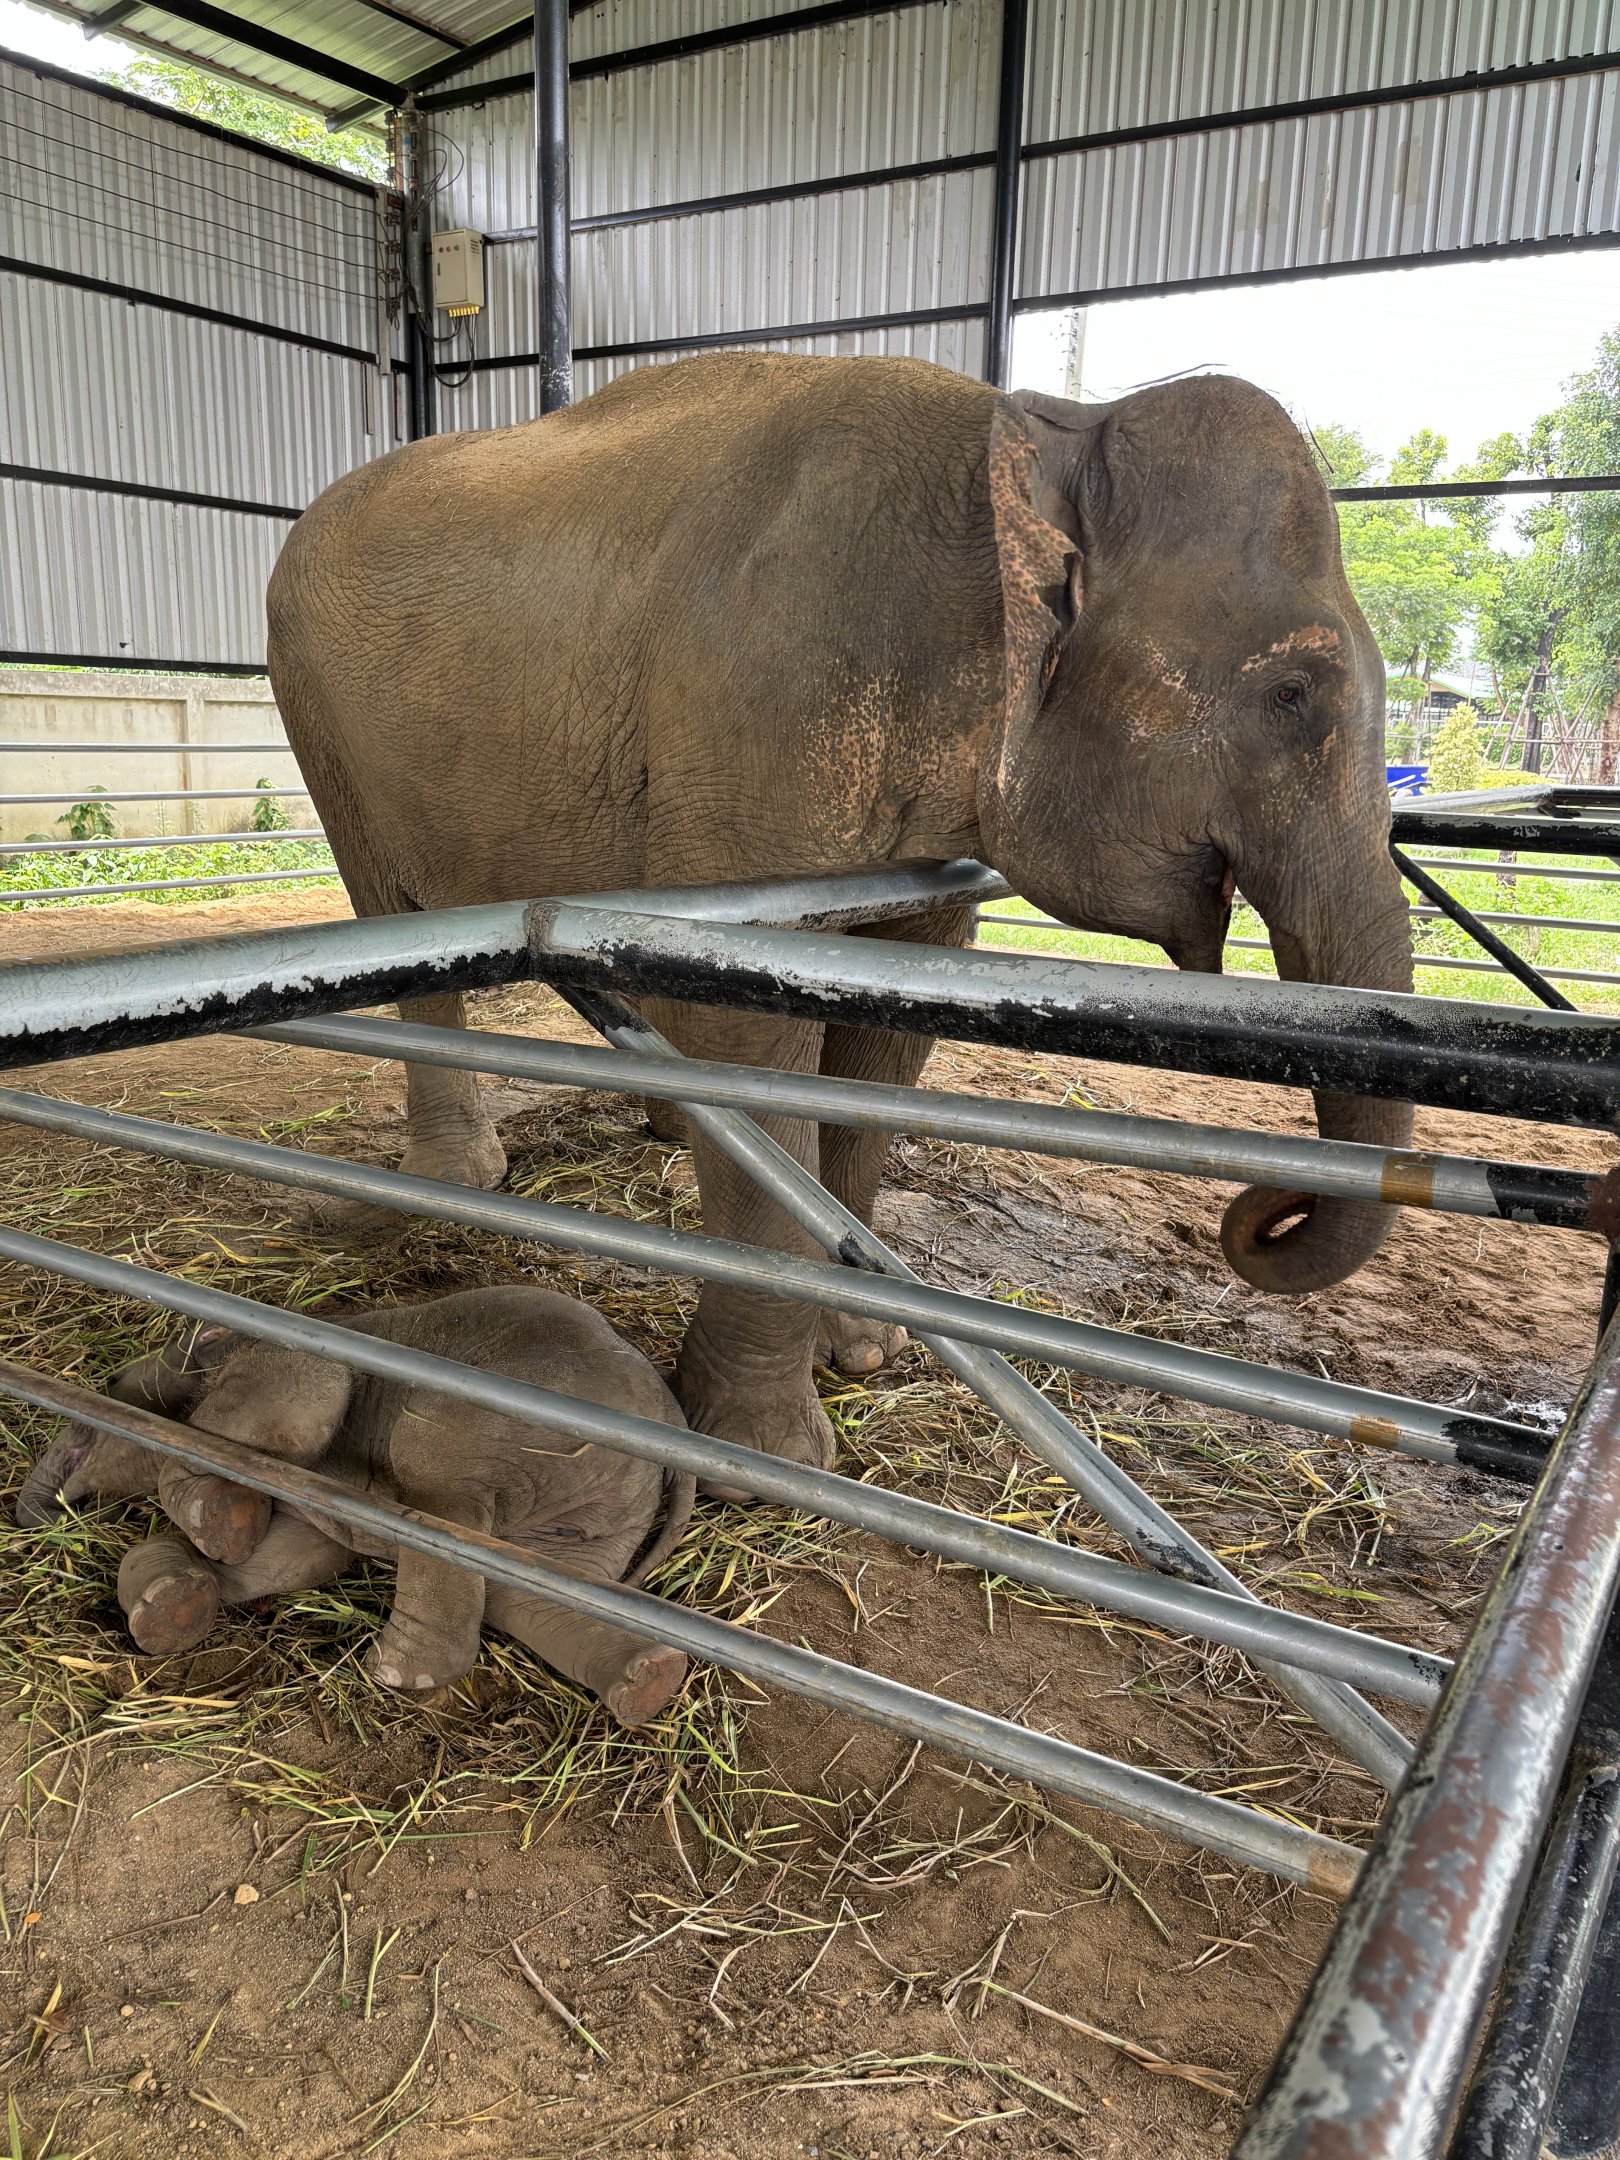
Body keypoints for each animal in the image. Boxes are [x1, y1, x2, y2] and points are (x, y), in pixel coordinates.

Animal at [14, 1286, 695, 1726]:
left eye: (99, 1403)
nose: (31, 1517)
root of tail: (666, 1413)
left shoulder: (283, 1358)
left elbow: (292, 1408)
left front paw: (220, 1523)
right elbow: (291, 1560)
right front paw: (171, 1600)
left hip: (502, 1419)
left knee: (441, 1489)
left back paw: (396, 1673)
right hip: (605, 1510)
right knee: (532, 1593)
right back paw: (648, 1682)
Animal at [265, 350, 1413, 1483]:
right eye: (1293, 693)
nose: (1258, 1212)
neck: (1038, 434)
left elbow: (887, 1033)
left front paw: (864, 1351)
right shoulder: (763, 709)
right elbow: (750, 1035)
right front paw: (763, 1450)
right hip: (318, 719)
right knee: (394, 915)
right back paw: (466, 1176)